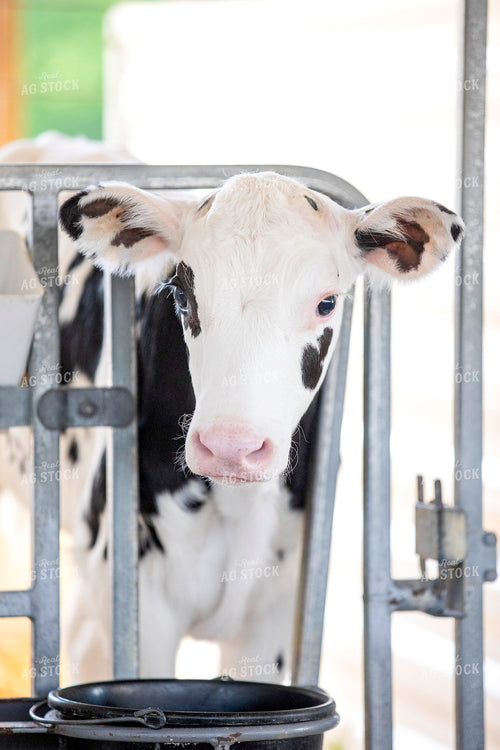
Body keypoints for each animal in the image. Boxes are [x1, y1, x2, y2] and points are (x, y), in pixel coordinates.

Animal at [0, 133, 464, 685]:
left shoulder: (276, 612)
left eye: (327, 302)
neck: (239, 508)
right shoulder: (133, 602)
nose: (230, 448)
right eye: (182, 294)